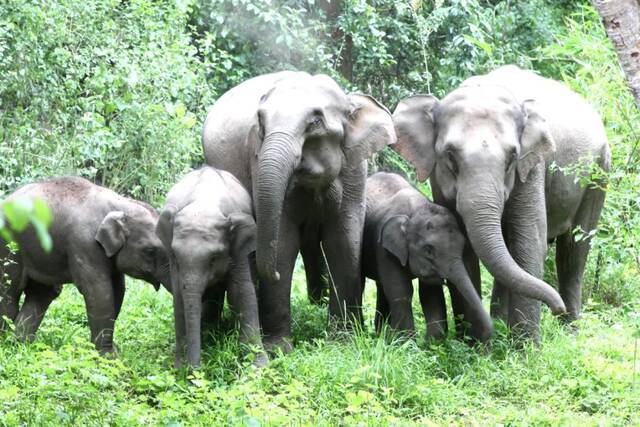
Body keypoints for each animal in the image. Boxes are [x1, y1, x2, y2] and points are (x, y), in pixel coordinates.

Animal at [0, 177, 171, 354]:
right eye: (150, 251)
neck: (119, 204)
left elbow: (118, 290)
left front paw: (111, 351)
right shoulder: (84, 245)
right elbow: (99, 292)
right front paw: (108, 355)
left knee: (42, 293)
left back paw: (21, 343)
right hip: (9, 245)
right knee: (10, 291)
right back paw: (7, 342)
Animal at [158, 166, 268, 368]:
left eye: (214, 258)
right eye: (176, 256)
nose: (196, 369)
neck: (203, 204)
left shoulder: (237, 250)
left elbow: (240, 292)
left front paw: (259, 366)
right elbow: (179, 295)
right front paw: (179, 366)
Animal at [204, 71, 396, 352]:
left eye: (315, 122)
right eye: (260, 123)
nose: (272, 275)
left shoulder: (354, 168)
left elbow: (343, 238)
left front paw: (343, 343)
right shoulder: (256, 159)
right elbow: (284, 241)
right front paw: (278, 350)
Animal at [362, 172, 492, 342]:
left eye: (462, 245)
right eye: (428, 249)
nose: (489, 332)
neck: (416, 210)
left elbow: (430, 293)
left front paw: (431, 342)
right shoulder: (384, 248)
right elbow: (400, 291)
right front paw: (406, 343)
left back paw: (380, 336)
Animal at [396, 65, 608, 342]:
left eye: (512, 156)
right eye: (450, 154)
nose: (556, 306)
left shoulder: (532, 168)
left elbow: (529, 243)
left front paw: (526, 349)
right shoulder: (436, 178)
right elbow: (464, 248)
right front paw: (473, 342)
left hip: (599, 173)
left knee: (574, 248)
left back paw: (570, 329)